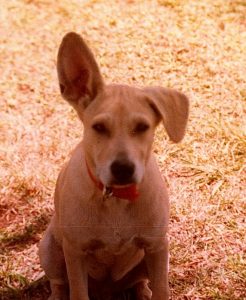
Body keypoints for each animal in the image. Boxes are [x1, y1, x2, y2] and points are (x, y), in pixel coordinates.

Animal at [39, 32, 188, 300]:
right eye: (98, 127)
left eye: (142, 127)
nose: (123, 169)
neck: (117, 199)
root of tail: (107, 291)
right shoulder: (75, 252)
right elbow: (77, 292)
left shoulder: (157, 246)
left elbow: (162, 290)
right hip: (49, 250)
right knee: (58, 283)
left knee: (140, 281)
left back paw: (142, 292)